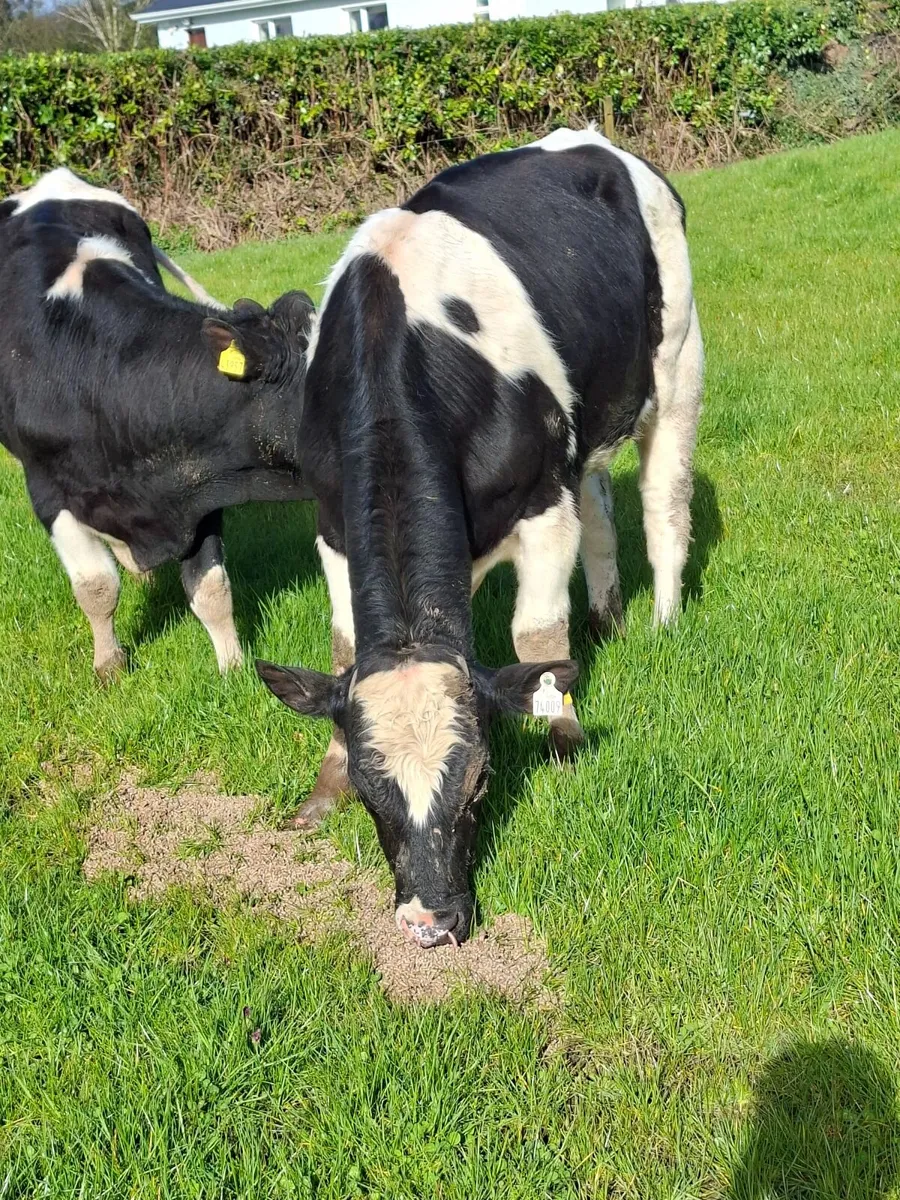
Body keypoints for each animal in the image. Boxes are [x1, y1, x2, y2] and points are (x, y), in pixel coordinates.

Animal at [0, 169, 314, 678]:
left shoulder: (200, 480)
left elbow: (211, 588)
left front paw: (232, 668)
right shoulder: (48, 491)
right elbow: (96, 587)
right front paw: (109, 667)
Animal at [250, 127, 704, 947]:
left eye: (481, 780)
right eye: (370, 791)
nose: (431, 922)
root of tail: (588, 138)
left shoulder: (542, 503)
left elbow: (536, 635)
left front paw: (566, 740)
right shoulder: (332, 527)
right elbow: (342, 647)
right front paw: (319, 793)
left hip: (678, 362)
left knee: (663, 502)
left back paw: (662, 617)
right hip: (587, 426)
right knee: (600, 499)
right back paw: (610, 614)